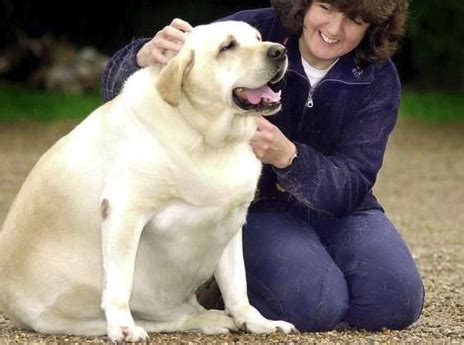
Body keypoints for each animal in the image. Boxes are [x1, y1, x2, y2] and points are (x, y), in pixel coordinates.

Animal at [0, 21, 294, 342]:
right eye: (227, 47)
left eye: (257, 37)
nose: (280, 51)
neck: (205, 136)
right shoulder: (124, 210)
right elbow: (120, 283)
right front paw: (123, 328)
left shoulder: (231, 220)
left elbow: (237, 284)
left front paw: (257, 322)